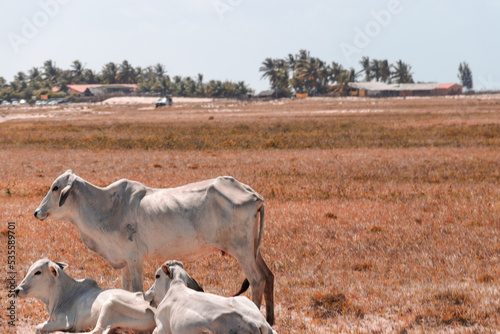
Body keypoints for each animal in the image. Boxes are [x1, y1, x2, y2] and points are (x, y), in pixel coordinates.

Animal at [34, 170, 278, 324]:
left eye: (55, 187)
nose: (37, 212)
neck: (107, 207)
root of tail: (253, 194)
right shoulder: (124, 261)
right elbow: (124, 289)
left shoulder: (135, 258)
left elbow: (136, 290)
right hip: (253, 251)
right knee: (269, 275)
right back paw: (270, 319)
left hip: (242, 251)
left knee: (257, 280)